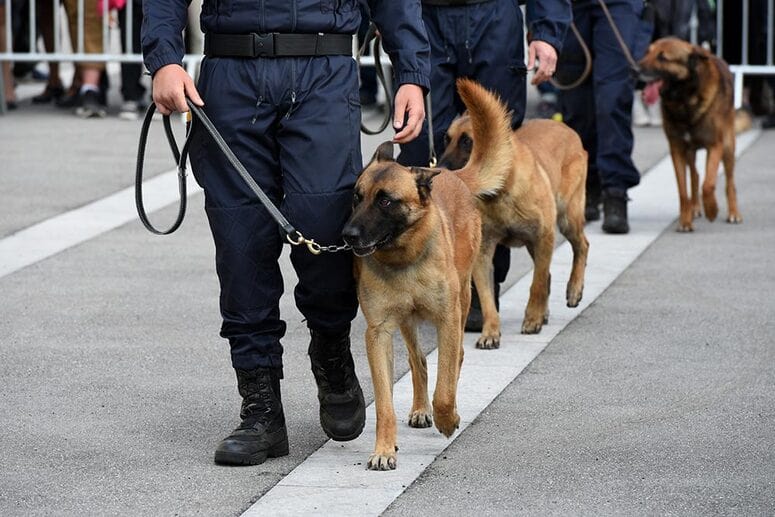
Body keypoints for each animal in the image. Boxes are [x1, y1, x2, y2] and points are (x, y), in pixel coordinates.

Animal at [342, 143, 482, 470]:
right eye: (357, 197)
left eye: (385, 201)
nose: (347, 235)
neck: (403, 258)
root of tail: (454, 176)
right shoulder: (378, 334)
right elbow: (384, 404)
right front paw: (384, 449)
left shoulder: (447, 320)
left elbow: (444, 389)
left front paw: (448, 419)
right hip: (407, 322)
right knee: (418, 361)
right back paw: (420, 408)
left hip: (463, 300)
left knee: (455, 359)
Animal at [440, 79, 592, 346]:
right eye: (446, 140)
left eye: (468, 142)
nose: (437, 169)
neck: (501, 191)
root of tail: (563, 126)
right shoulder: (483, 253)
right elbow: (488, 298)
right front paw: (490, 332)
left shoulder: (544, 237)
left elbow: (537, 284)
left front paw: (531, 319)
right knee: (548, 273)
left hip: (567, 219)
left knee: (581, 246)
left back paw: (573, 290)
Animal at [640, 36, 744, 230]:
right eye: (647, 52)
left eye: (663, 57)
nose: (633, 69)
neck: (685, 100)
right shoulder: (677, 149)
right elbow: (683, 189)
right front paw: (685, 221)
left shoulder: (715, 146)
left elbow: (708, 185)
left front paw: (712, 210)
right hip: (690, 152)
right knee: (695, 175)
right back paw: (694, 207)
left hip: (728, 146)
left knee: (730, 181)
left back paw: (733, 213)